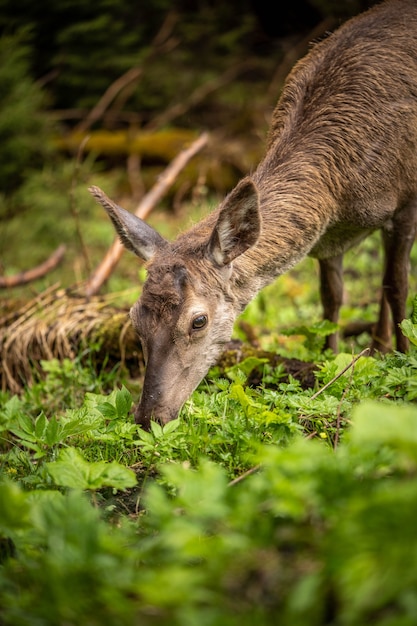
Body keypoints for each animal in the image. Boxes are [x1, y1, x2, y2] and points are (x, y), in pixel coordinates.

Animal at [89, 0, 416, 426]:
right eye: (134, 317)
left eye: (198, 320)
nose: (148, 415)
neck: (343, 191)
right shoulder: (329, 240)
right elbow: (332, 299)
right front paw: (333, 362)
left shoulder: (407, 200)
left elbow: (397, 286)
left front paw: (405, 359)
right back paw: (377, 346)